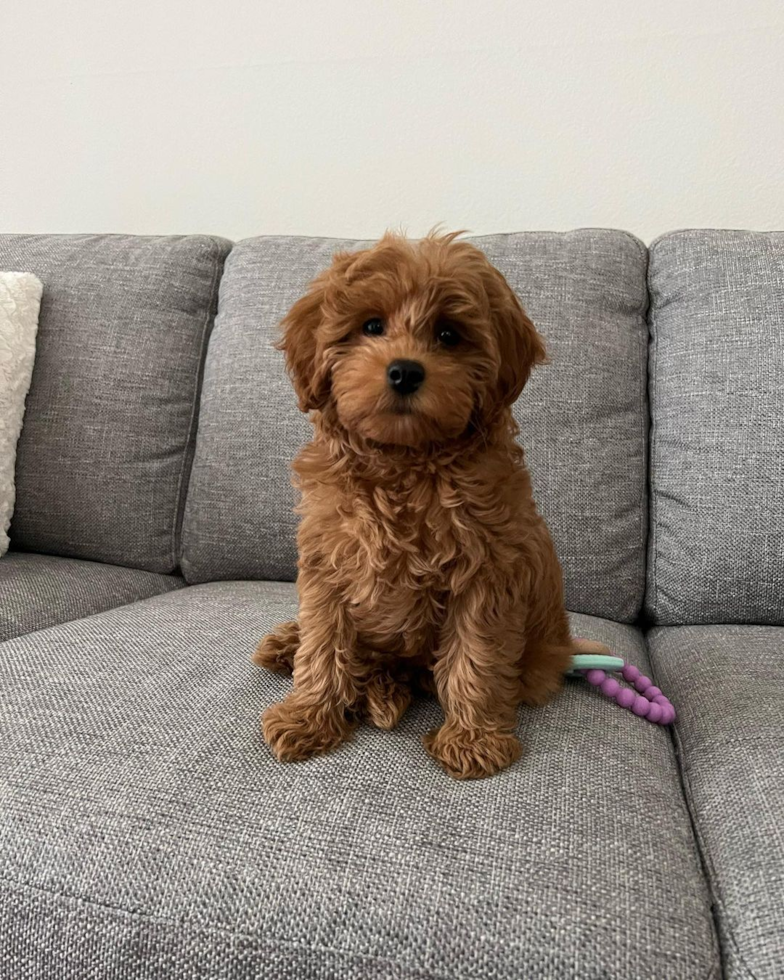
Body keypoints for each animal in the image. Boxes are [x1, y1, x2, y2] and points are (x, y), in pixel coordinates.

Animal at [254, 234, 596, 776]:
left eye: (448, 334)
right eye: (372, 326)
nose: (404, 371)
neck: (403, 463)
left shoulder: (486, 572)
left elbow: (475, 656)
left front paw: (474, 739)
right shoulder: (329, 559)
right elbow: (324, 642)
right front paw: (308, 715)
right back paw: (291, 644)